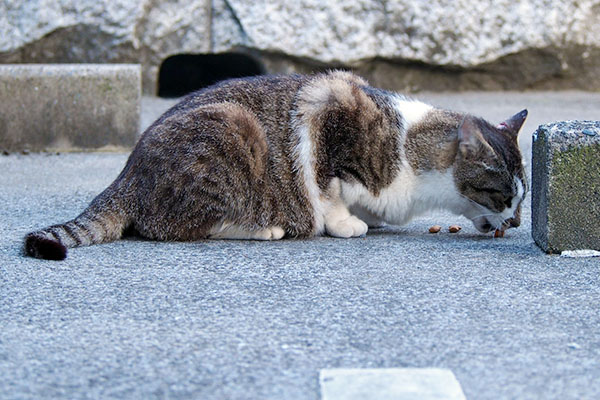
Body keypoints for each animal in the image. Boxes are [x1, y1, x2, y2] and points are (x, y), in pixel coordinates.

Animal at [22, 70, 524, 260]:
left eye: (522, 197)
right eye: (503, 195)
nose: (517, 221)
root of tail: (126, 175)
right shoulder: (329, 111)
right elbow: (327, 185)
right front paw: (344, 222)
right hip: (233, 128)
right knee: (175, 227)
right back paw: (263, 228)